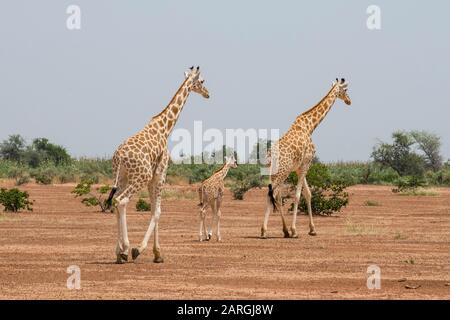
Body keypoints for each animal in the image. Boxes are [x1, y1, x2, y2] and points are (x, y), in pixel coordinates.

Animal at [106, 66, 210, 264]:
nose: (208, 93)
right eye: (202, 81)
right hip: (139, 176)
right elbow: (158, 211)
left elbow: (153, 209)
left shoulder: (152, 177)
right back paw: (126, 248)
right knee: (121, 201)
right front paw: (144, 251)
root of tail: (119, 157)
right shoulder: (160, 173)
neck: (165, 127)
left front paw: (157, 254)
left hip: (123, 177)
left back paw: (118, 252)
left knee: (115, 202)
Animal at [260, 78, 352, 238]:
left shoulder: (299, 168)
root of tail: (270, 156)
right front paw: (295, 230)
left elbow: (308, 194)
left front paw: (312, 229)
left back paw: (283, 231)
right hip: (282, 173)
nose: (349, 101)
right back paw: (265, 231)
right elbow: (298, 195)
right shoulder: (306, 164)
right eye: (345, 90)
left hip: (274, 173)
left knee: (276, 196)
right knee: (273, 195)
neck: (310, 126)